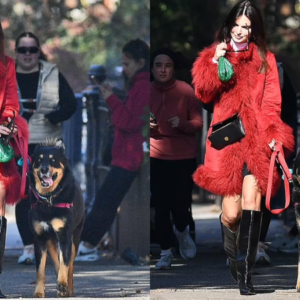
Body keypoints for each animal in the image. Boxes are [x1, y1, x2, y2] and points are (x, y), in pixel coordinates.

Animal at [28, 141, 84, 298]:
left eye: (53, 160)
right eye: (39, 160)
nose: (44, 169)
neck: (49, 200)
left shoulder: (65, 237)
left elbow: (65, 265)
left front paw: (63, 285)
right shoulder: (40, 239)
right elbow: (40, 270)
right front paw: (38, 292)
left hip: (75, 238)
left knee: (70, 265)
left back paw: (68, 288)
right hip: (51, 242)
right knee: (57, 262)